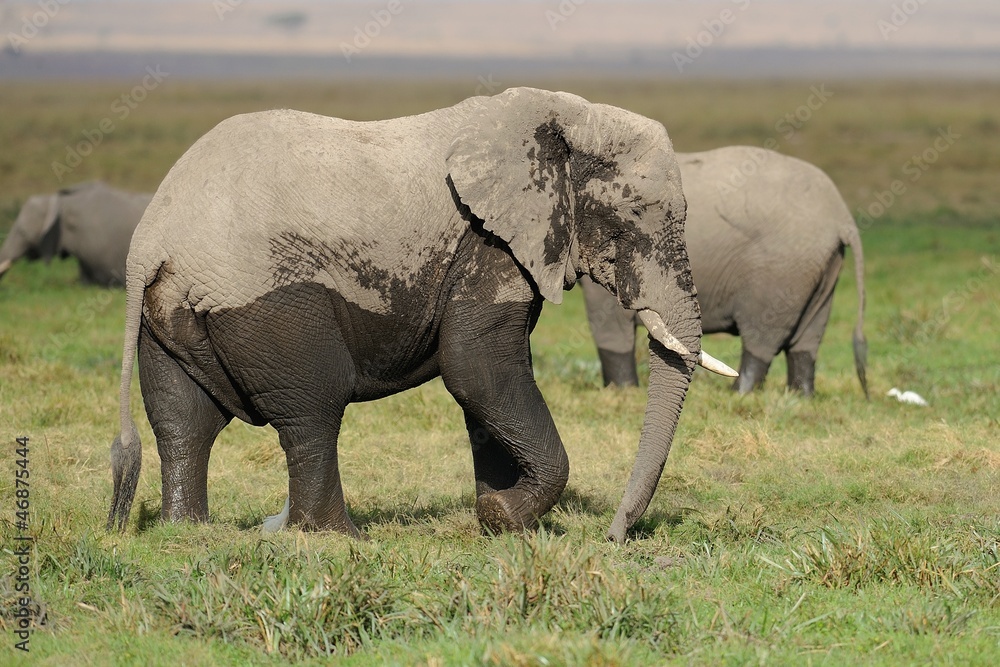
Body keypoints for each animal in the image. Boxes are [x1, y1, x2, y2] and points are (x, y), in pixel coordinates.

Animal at [106, 87, 737, 544]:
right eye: (630, 222)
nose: (613, 537)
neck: (564, 114)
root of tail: (148, 243)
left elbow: (485, 386)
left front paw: (496, 518)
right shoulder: (487, 243)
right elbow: (477, 369)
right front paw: (502, 515)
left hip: (172, 311)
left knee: (183, 420)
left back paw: (188, 533)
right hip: (266, 303)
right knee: (312, 408)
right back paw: (335, 539)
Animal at [581, 146, 867, 397]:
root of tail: (842, 217)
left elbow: (607, 317)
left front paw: (622, 391)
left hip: (783, 271)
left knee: (764, 334)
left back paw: (739, 393)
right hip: (821, 267)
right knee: (808, 338)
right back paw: (801, 396)